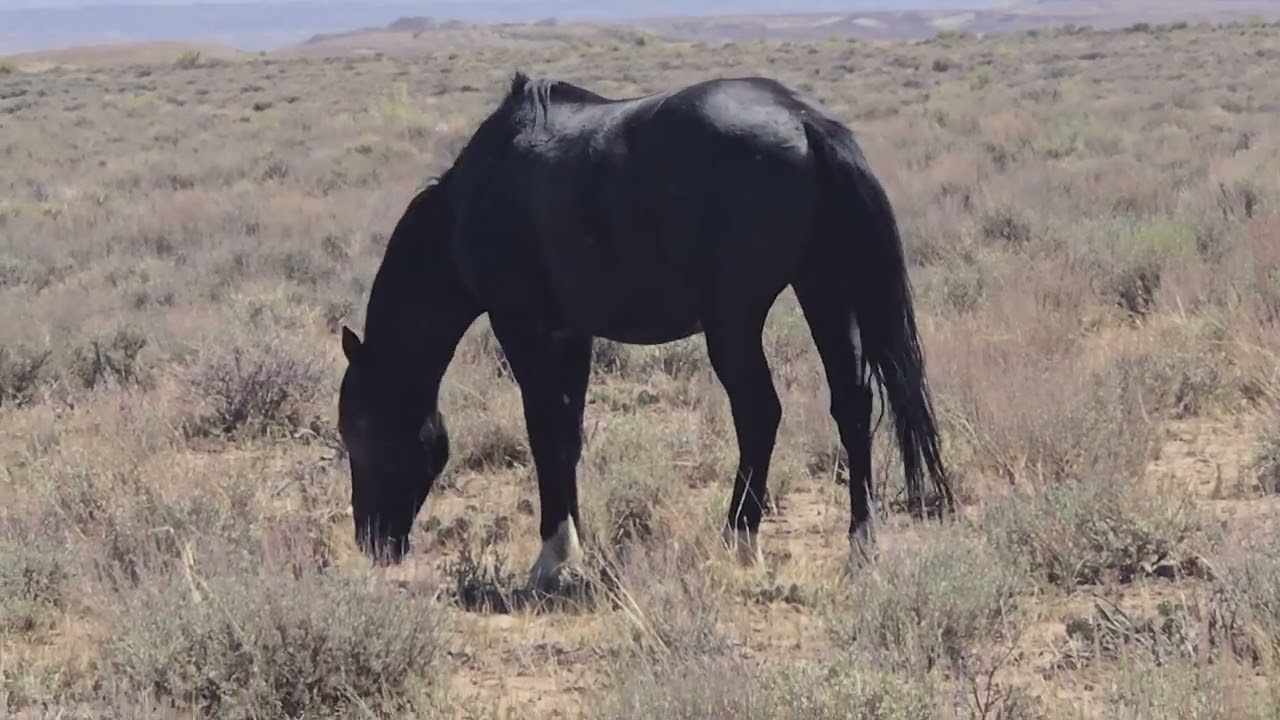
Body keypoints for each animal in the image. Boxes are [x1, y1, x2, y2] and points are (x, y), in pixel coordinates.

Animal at [337, 71, 956, 590]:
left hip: (735, 320)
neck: (477, 195)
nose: (373, 541)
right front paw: (570, 548)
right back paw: (861, 545)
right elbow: (567, 434)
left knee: (760, 413)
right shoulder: (571, 334)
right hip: (823, 290)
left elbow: (543, 433)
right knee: (852, 405)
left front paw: (550, 558)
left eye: (359, 427)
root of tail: (804, 120)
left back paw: (740, 539)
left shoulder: (522, 326)